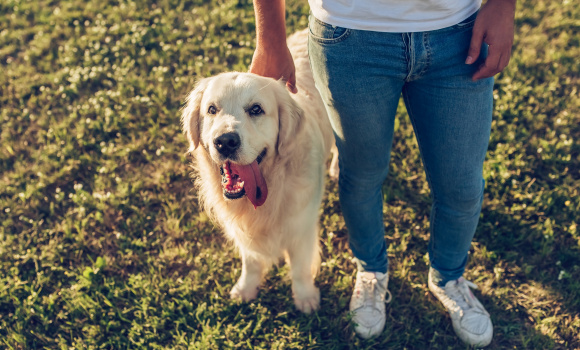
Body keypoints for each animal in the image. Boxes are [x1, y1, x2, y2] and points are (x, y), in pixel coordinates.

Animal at [180, 28, 336, 312]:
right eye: (212, 109)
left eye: (256, 109)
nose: (225, 141)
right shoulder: (244, 232)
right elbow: (251, 262)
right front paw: (246, 288)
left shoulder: (301, 226)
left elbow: (299, 268)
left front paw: (305, 297)